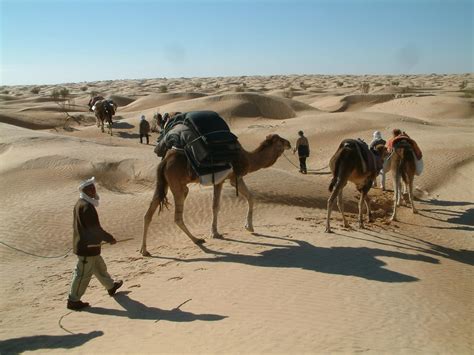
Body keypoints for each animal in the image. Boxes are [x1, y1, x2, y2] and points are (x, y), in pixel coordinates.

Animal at [139, 134, 290, 256]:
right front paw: (240, 229)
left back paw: (144, 250)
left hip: (163, 183)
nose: (289, 143)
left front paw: (244, 227)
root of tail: (165, 161)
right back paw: (197, 240)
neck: (247, 158)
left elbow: (228, 202)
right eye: (281, 141)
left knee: (148, 213)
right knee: (177, 216)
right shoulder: (230, 177)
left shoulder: (226, 179)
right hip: (177, 184)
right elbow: (224, 203)